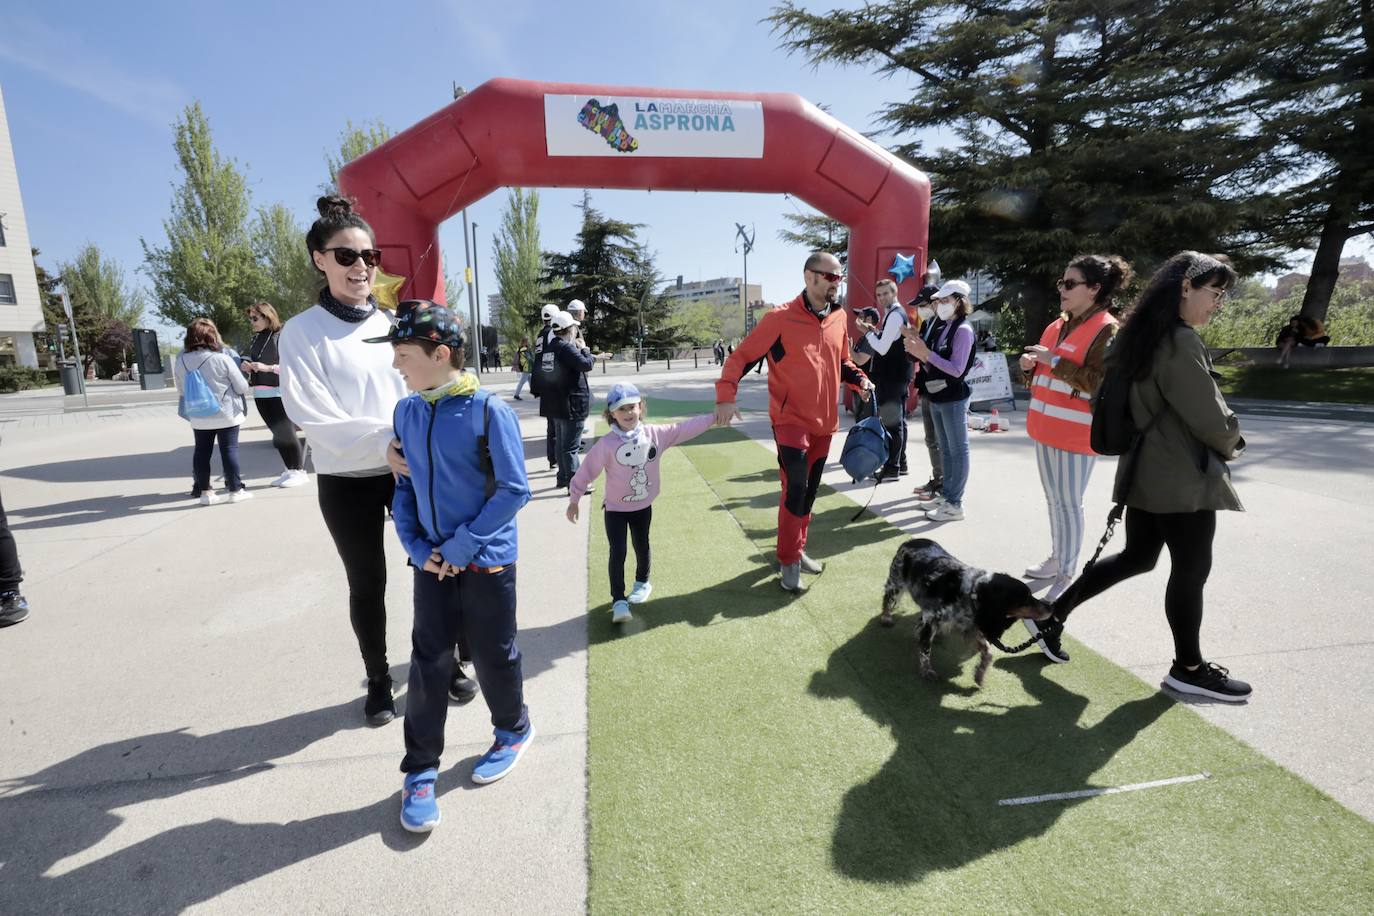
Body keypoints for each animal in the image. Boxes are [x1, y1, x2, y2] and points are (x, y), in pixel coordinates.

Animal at [873, 541, 1055, 683]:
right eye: (1026, 597)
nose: (1051, 608)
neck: (972, 593)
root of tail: (911, 542)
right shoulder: (930, 620)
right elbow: (925, 649)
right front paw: (927, 671)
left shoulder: (970, 628)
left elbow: (988, 652)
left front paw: (980, 674)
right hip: (896, 584)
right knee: (887, 600)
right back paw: (886, 618)